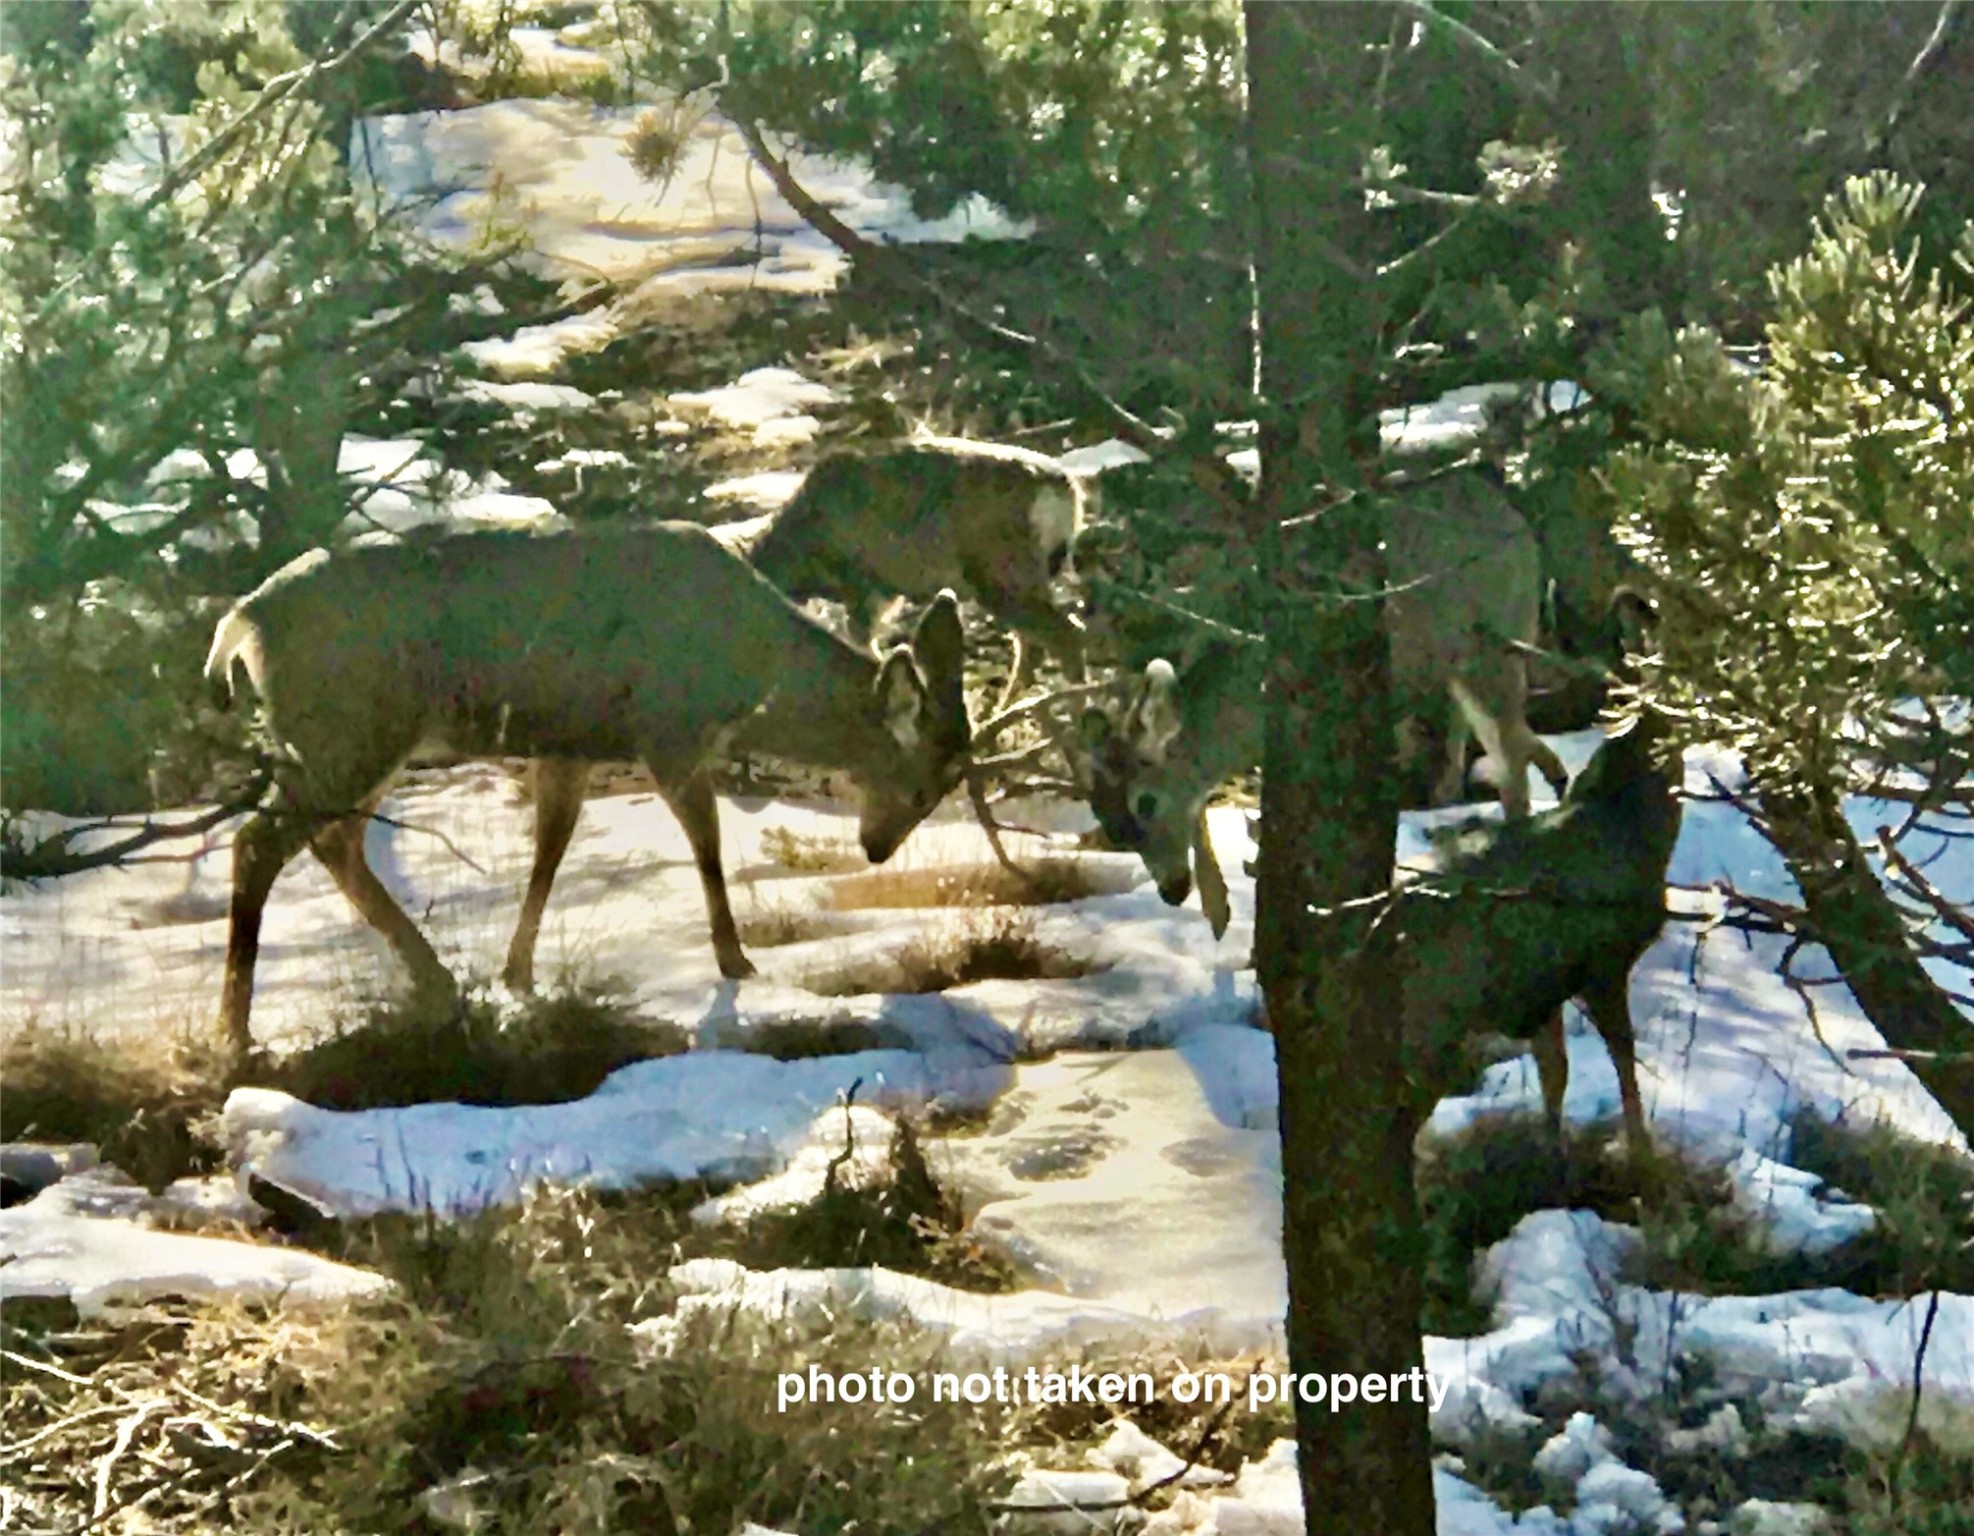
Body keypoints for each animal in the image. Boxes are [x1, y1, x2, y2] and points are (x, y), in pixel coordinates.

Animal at [202, 523, 970, 1054]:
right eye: (926, 785)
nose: (875, 850)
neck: (752, 673)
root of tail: (238, 625)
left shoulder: (568, 744)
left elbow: (552, 845)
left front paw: (516, 973)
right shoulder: (669, 730)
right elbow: (706, 844)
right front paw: (736, 960)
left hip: (355, 740)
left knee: (337, 842)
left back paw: (435, 978)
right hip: (346, 730)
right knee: (259, 842)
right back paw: (235, 1030)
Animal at [732, 436, 1097, 710]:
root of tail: (1064, 491)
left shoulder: (864, 582)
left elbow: (861, 640)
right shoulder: (886, 589)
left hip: (1002, 570)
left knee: (1063, 636)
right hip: (1023, 577)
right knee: (1035, 644)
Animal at [1080, 468, 1570, 936]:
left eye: (1146, 802)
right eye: (1105, 817)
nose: (1171, 890)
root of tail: (1514, 518)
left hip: (1491, 639)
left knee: (1509, 760)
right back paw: (1551, 777)